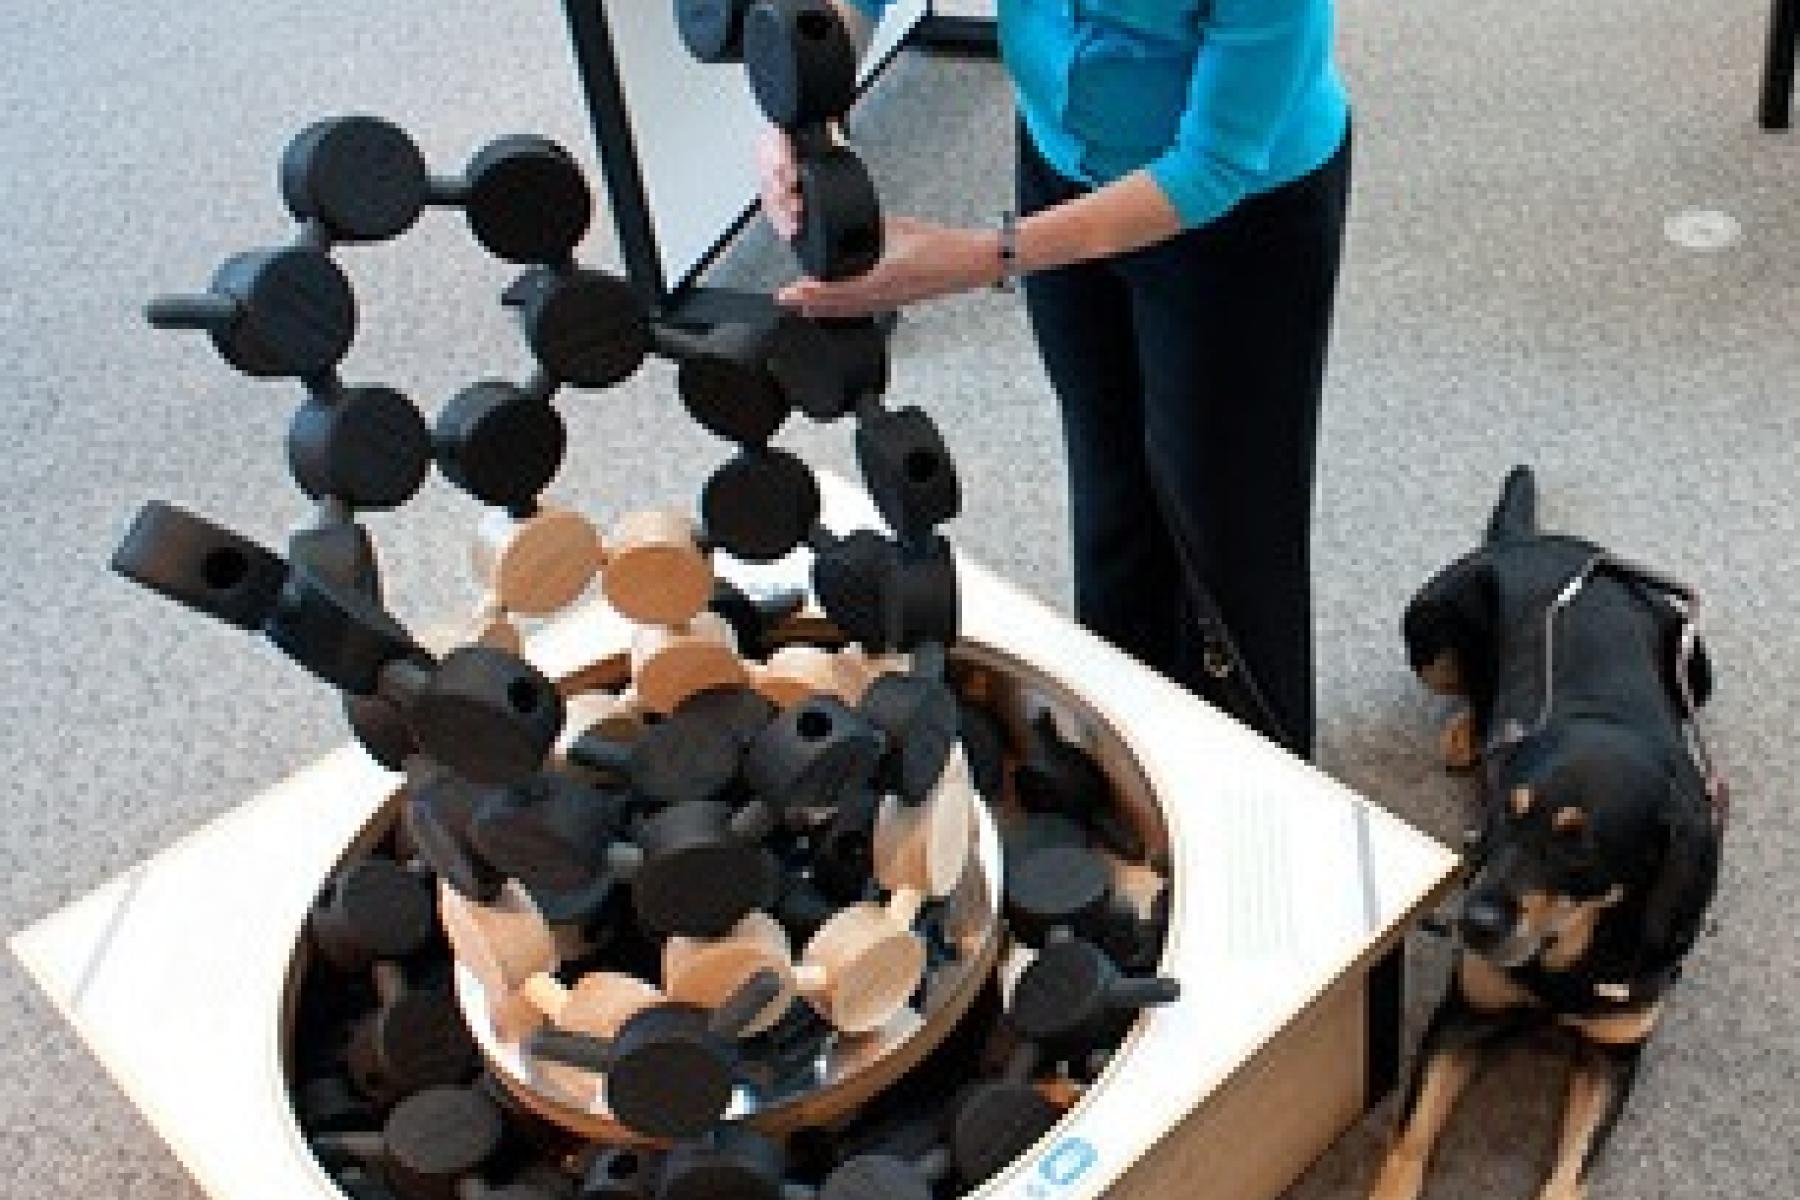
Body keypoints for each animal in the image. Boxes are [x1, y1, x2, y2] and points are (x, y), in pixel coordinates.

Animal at [1368, 467, 1720, 1200]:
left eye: (1579, 843)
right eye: (1505, 813)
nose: (1471, 923)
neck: (1569, 951)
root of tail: (1538, 540)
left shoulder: (1615, 1055)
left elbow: (1568, 1174)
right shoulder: (1463, 1017)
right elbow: (1409, 1141)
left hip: (1697, 662)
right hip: (1429, 627)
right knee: (1468, 688)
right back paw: (1467, 732)